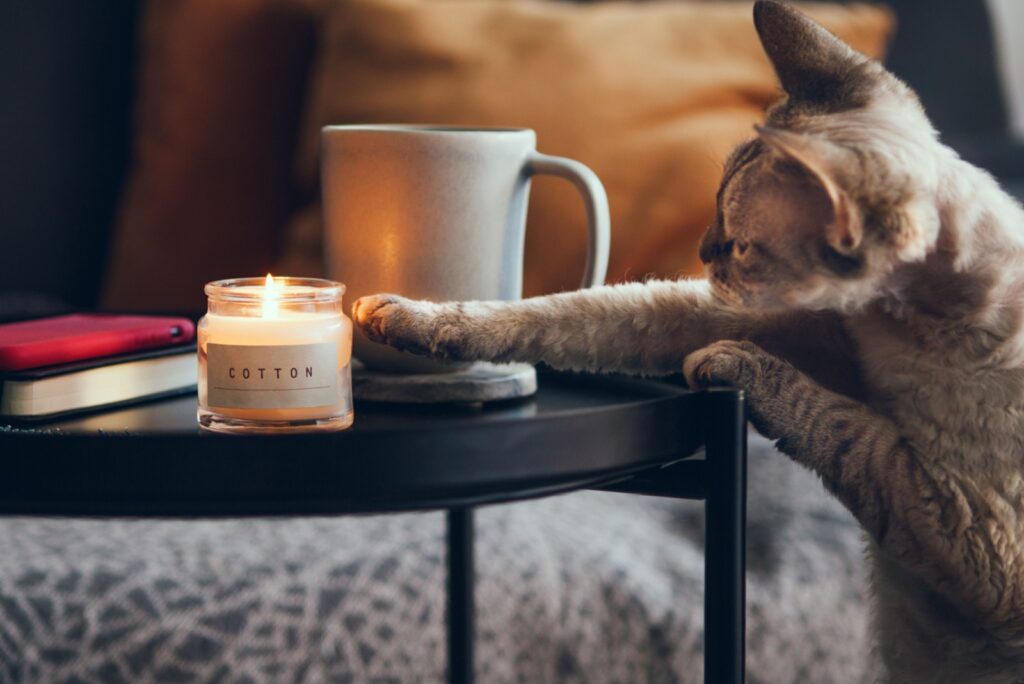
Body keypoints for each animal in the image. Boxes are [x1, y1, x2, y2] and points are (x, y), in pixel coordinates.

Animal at [348, 2, 1024, 679]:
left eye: (742, 244)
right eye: (715, 210)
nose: (701, 251)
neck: (892, 332)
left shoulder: (974, 531)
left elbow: (850, 429)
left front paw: (731, 364)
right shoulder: (793, 329)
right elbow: (566, 313)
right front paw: (400, 316)